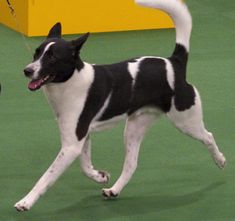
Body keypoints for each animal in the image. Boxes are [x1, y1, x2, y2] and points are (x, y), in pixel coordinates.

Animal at [14, 0, 226, 212]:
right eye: (37, 53)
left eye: (52, 58)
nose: (27, 70)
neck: (71, 81)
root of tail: (174, 63)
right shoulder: (81, 138)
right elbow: (85, 166)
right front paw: (100, 176)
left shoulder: (72, 144)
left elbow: (46, 177)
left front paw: (26, 202)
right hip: (134, 127)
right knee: (131, 164)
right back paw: (113, 190)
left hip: (185, 120)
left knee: (208, 136)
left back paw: (220, 160)